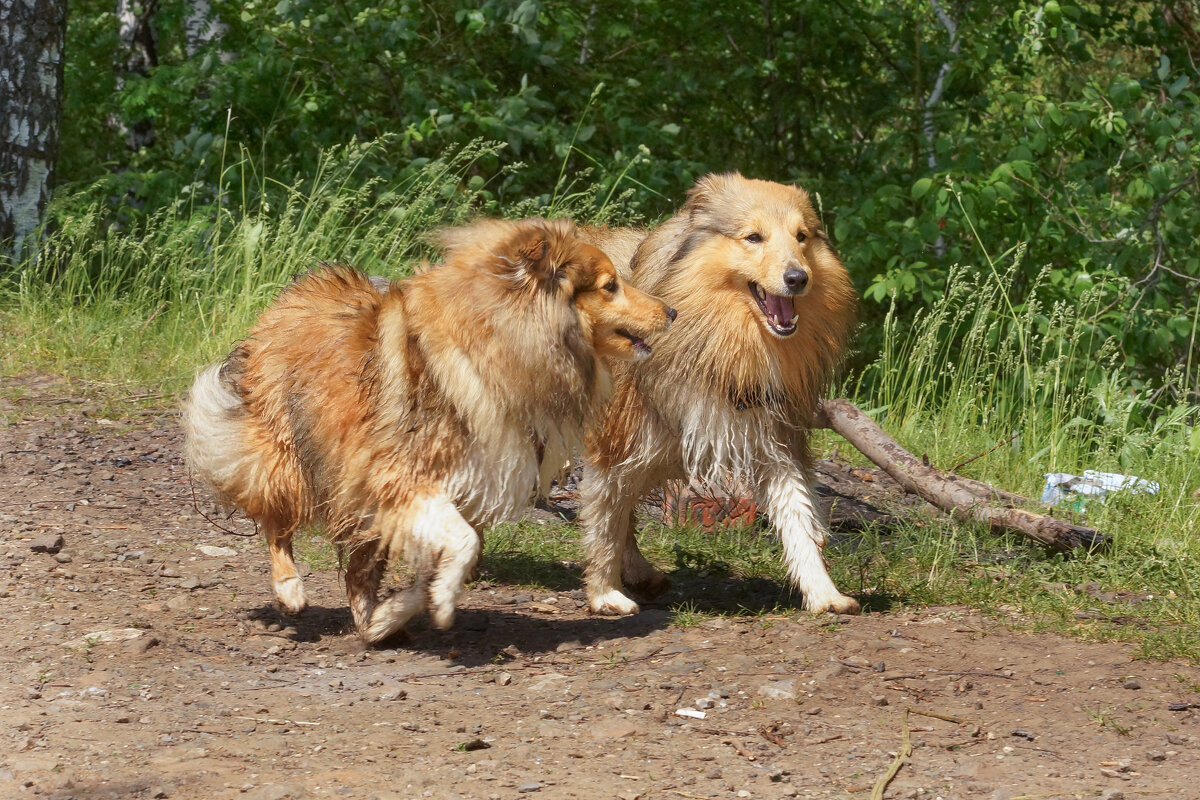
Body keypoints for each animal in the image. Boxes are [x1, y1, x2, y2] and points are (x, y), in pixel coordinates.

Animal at [184, 219, 676, 642]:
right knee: (274, 516)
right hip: (289, 453)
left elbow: (449, 557)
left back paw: (370, 617)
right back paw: (290, 587)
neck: (496, 347)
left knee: (357, 565)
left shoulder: (458, 487)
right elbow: (462, 545)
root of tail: (300, 287)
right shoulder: (398, 477)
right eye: (610, 285)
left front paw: (397, 612)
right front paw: (433, 603)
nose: (671, 311)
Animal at [576, 173, 859, 614]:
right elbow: (606, 525)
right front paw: (605, 594)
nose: (798, 278)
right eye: (754, 236)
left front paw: (824, 593)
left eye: (802, 237)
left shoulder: (773, 440)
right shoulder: (616, 443)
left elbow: (798, 517)